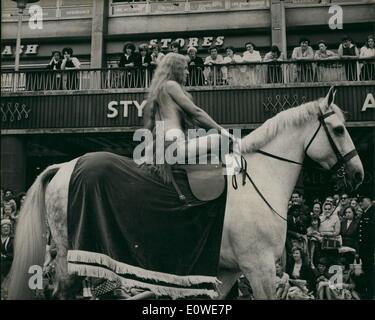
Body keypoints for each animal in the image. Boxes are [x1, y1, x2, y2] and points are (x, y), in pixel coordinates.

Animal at [5, 87, 364, 300]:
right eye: (338, 129)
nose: (359, 174)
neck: (257, 183)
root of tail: (64, 165)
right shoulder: (258, 267)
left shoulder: (227, 271)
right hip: (72, 252)